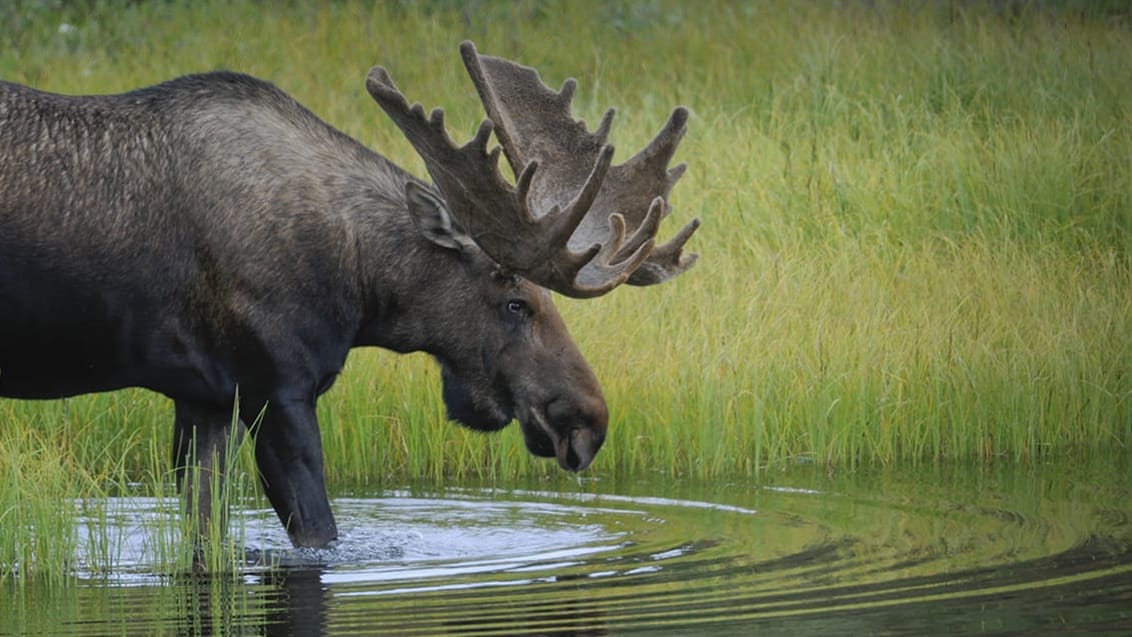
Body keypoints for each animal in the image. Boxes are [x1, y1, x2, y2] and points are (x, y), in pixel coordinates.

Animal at [0, 42, 697, 547]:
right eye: (515, 302)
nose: (587, 421)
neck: (359, 287)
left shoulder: (204, 399)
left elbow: (203, 535)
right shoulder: (277, 389)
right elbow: (321, 537)